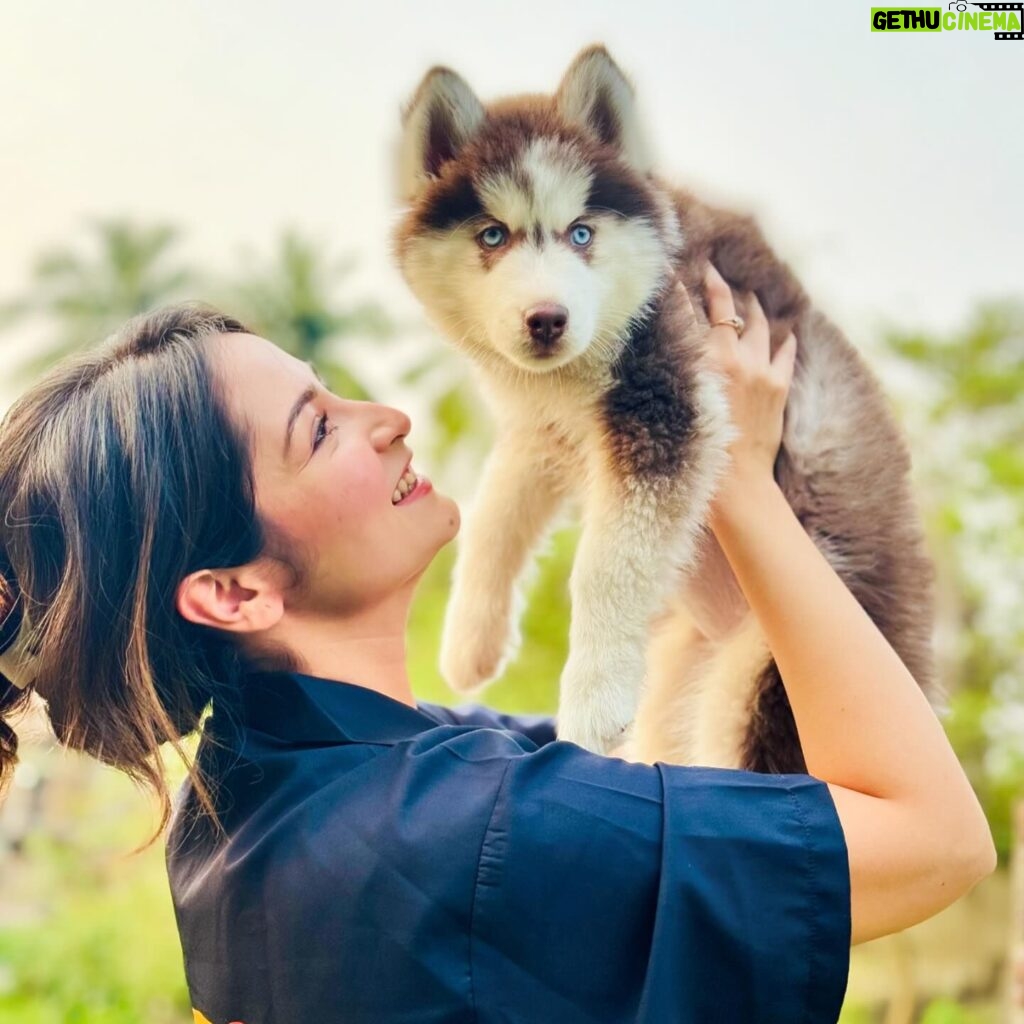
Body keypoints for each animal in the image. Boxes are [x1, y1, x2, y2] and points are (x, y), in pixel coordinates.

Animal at [391, 48, 937, 770]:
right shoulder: (545, 430)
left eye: (581, 233)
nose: (548, 320)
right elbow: (495, 516)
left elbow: (605, 567)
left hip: (772, 689)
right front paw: (471, 643)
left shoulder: (667, 405)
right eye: (492, 236)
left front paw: (590, 705)